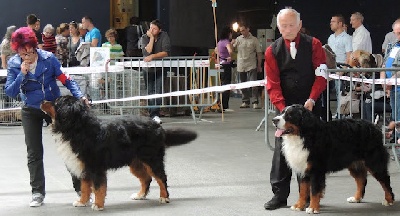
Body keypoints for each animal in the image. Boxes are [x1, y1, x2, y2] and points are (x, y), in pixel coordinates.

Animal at [40, 95, 197, 210]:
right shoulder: (83, 166)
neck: (76, 128)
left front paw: (97, 205)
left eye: (56, 102)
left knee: (161, 178)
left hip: (152, 159)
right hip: (136, 162)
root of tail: (157, 125)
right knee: (146, 178)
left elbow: (98, 187)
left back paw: (164, 197)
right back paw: (140, 195)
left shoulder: (95, 167)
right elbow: (85, 187)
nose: (41, 101)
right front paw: (82, 202)